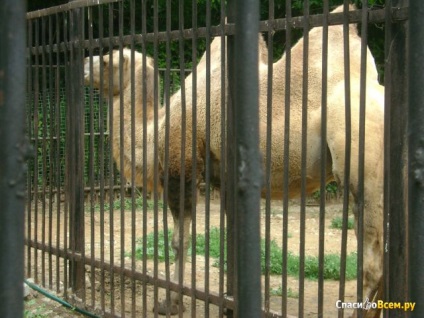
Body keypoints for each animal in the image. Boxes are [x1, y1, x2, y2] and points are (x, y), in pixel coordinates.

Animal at [83, 4, 384, 316]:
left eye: (105, 61)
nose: (83, 65)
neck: (157, 129)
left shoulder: (183, 167)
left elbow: (180, 241)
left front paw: (170, 302)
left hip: (361, 154)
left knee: (372, 258)